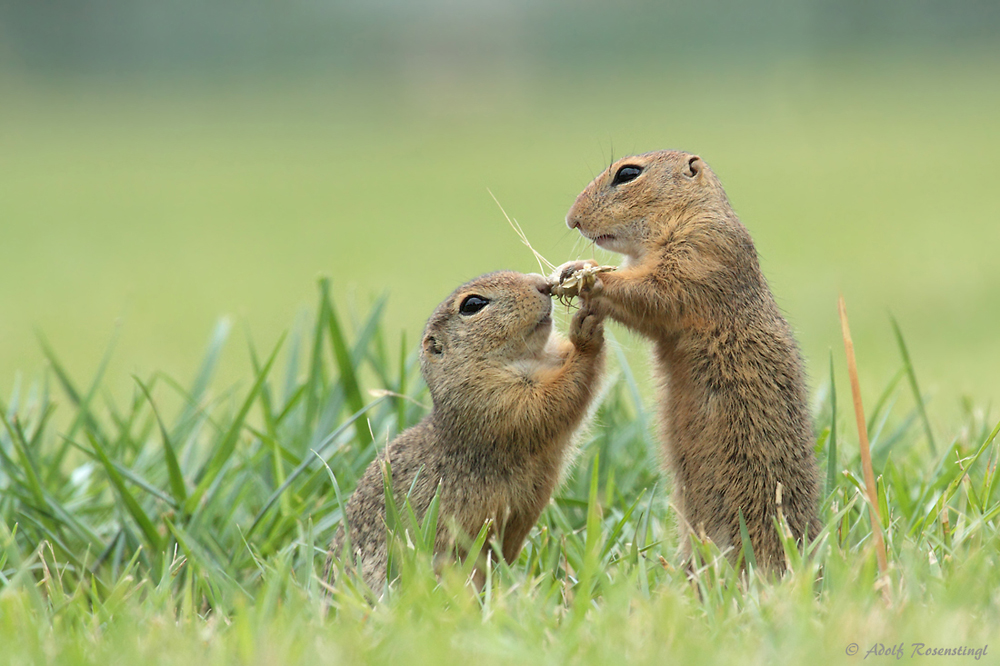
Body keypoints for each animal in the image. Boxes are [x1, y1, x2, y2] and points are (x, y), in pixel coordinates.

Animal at [556, 149, 820, 572]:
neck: (686, 215)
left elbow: (657, 293)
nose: (572, 219)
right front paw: (578, 295)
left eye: (628, 174)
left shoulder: (703, 250)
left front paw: (589, 278)